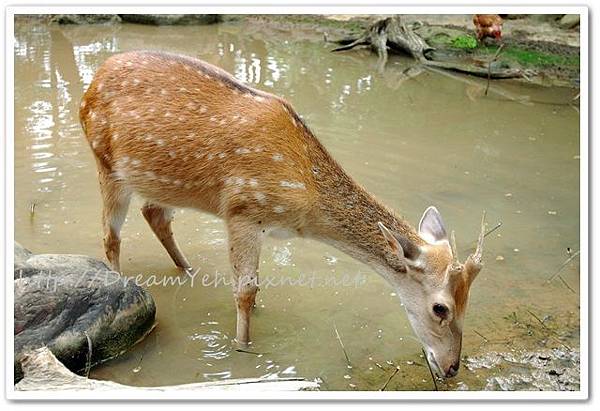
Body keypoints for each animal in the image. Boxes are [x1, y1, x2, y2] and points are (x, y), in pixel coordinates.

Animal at [79, 50, 486, 378]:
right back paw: (119, 279)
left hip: (158, 181)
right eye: (440, 308)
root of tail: (91, 83)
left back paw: (188, 270)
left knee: (154, 214)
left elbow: (255, 287)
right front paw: (243, 347)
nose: (452, 367)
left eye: (469, 301)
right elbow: (245, 290)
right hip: (105, 162)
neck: (304, 207)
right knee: (110, 234)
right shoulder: (241, 209)